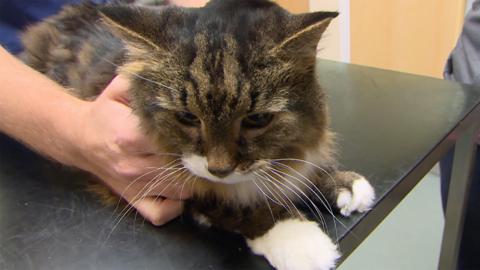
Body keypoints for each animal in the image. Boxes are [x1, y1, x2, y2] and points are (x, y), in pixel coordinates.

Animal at [20, 1, 376, 268]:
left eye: (257, 119)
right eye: (187, 117)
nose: (219, 169)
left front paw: (342, 183)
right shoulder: (173, 178)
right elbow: (240, 204)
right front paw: (297, 237)